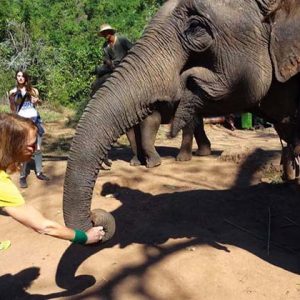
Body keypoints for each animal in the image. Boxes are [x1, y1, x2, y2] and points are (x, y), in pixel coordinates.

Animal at [63, 0, 300, 234]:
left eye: (195, 28)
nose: (96, 218)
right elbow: (133, 130)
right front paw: (137, 163)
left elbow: (149, 124)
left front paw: (152, 165)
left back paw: (185, 158)